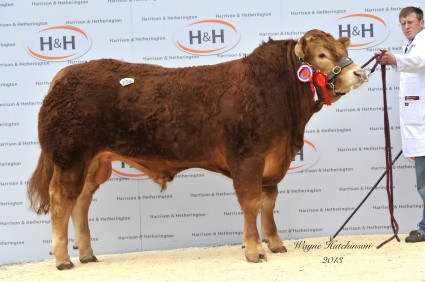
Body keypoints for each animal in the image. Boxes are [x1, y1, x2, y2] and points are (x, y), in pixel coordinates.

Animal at [27, 29, 364, 270]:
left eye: (344, 51)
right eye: (321, 54)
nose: (359, 73)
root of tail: (66, 75)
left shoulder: (273, 162)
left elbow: (268, 204)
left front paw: (276, 243)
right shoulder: (248, 159)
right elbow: (251, 203)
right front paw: (254, 250)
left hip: (94, 162)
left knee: (81, 201)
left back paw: (86, 254)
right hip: (70, 158)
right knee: (61, 200)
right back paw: (63, 259)